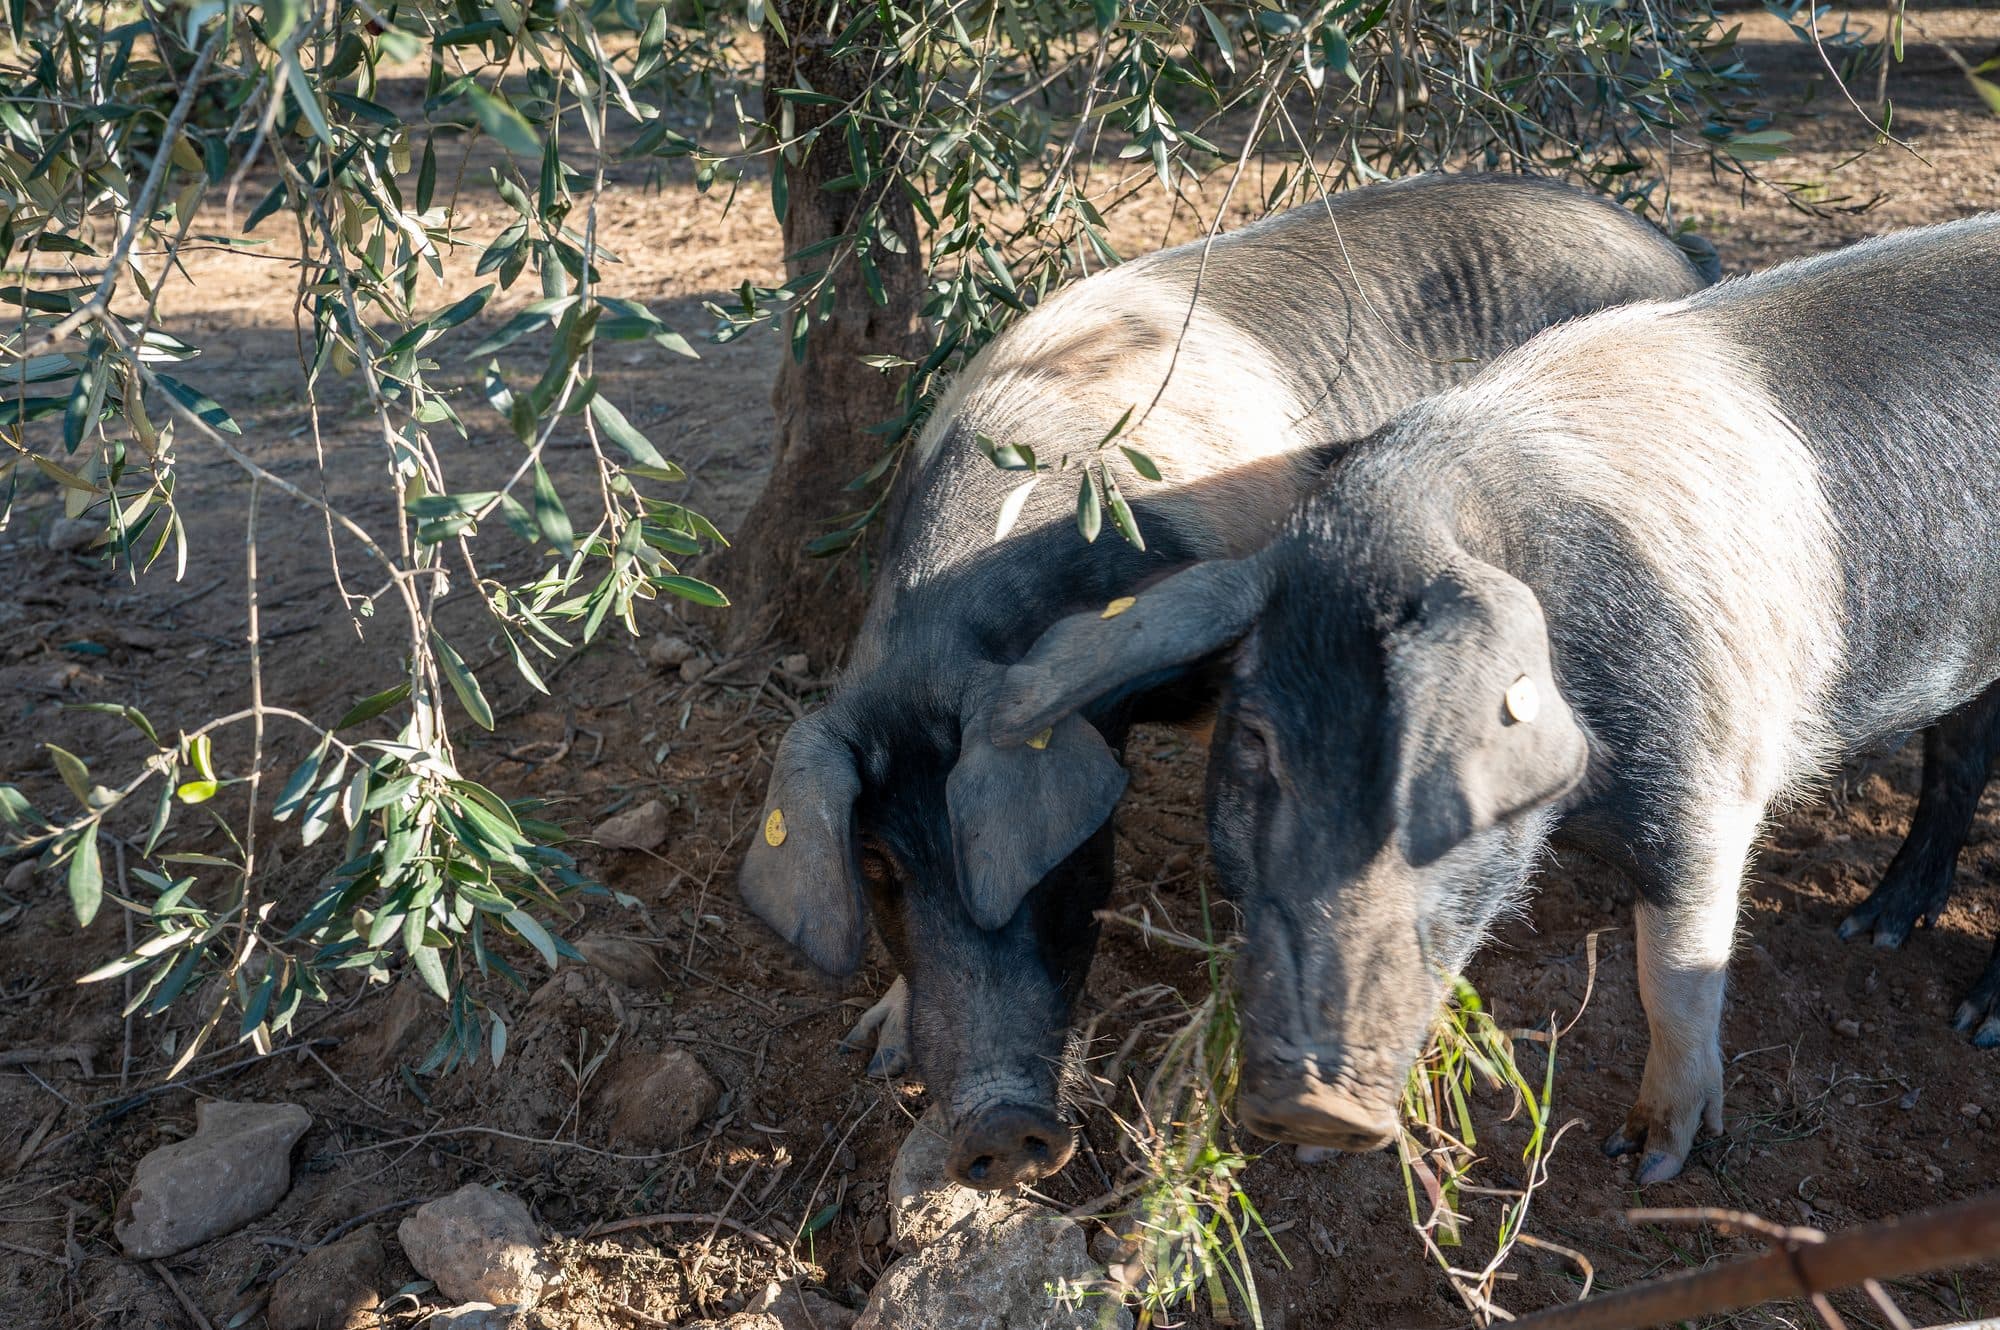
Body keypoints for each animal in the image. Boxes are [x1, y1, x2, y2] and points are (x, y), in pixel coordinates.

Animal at [985, 215, 2000, 1184]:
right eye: (1258, 744)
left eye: (1438, 769)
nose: (1311, 1106)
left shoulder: (1711, 774)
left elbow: (1676, 970)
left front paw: (1648, 1161)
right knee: (1960, 755)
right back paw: (1874, 929)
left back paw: (1966, 1017)